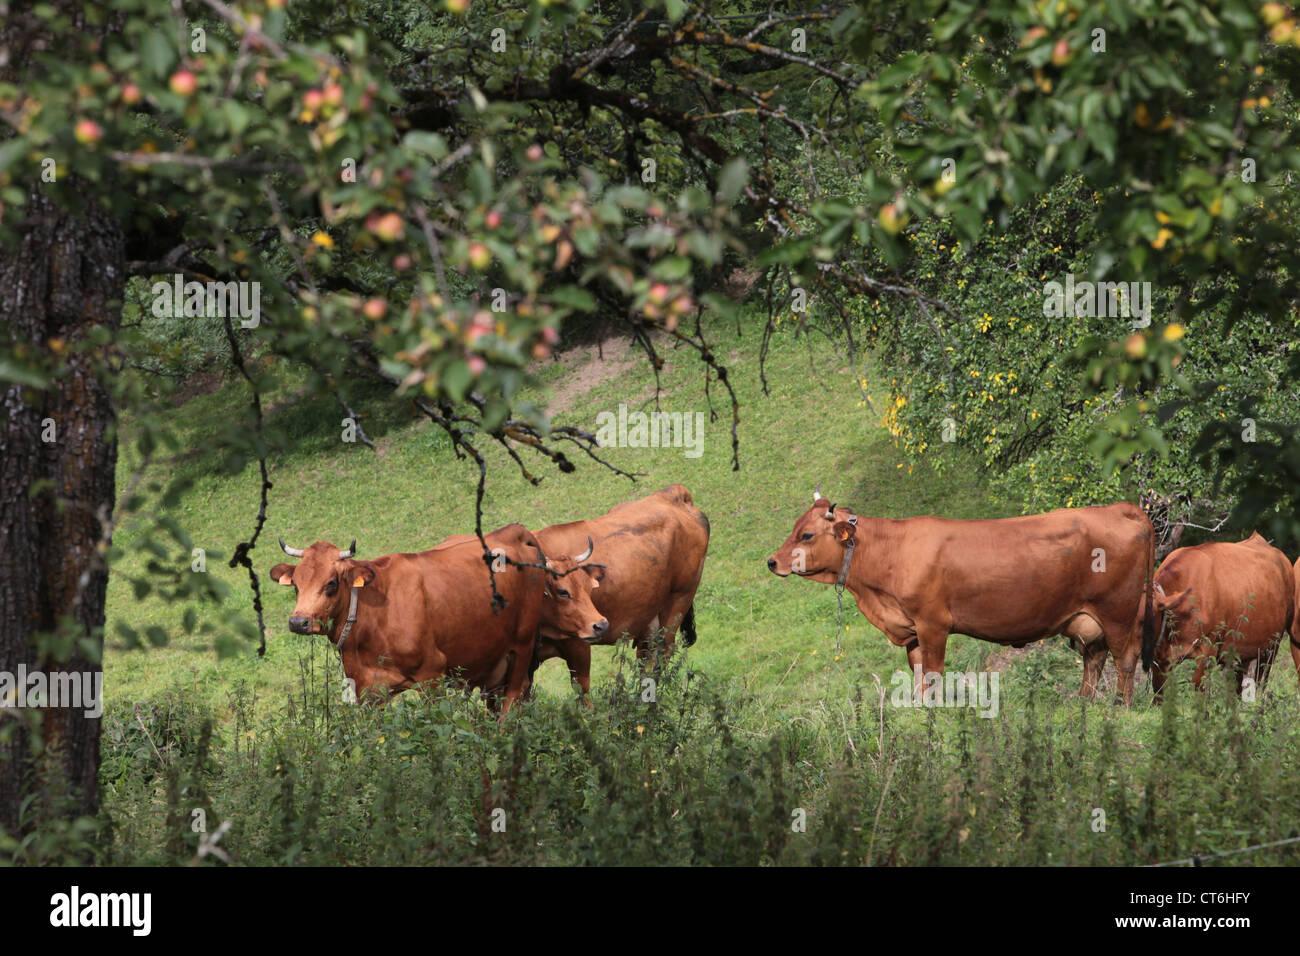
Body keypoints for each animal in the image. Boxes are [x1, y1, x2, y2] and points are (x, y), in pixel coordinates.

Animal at [266, 522, 605, 712]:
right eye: (296, 584)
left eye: (332, 583)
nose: (298, 622)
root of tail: (515, 532)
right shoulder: (366, 691)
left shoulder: (432, 676)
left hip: (522, 648)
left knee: (513, 702)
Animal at [527, 486, 712, 697]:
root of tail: (674, 494)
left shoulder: (578, 643)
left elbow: (582, 691)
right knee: (644, 659)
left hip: (678, 601)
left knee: (661, 654)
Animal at [764, 486, 1154, 702]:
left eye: (807, 535)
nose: (772, 561)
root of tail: (1118, 508)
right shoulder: (912, 631)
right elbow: (918, 673)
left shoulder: (933, 624)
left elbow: (934, 673)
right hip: (1087, 618)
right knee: (1094, 658)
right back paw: (1083, 703)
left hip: (1118, 611)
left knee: (1125, 658)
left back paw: (1120, 706)